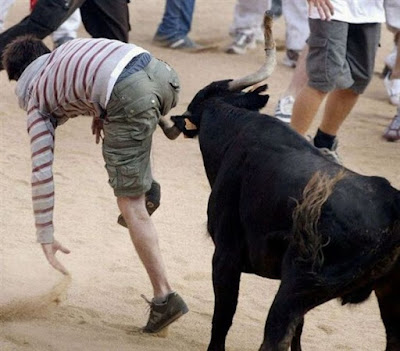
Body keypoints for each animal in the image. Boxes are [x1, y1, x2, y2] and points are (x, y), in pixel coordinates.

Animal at [171, 81, 400, 350]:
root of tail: (393, 203)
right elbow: (299, 330)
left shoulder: (226, 254)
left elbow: (223, 316)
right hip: (388, 296)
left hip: (297, 286)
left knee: (274, 338)